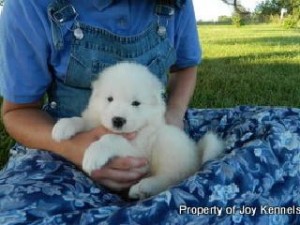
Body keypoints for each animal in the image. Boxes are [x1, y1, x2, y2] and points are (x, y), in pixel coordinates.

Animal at [52, 61, 224, 199]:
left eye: (135, 103)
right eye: (110, 99)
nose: (118, 120)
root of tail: (197, 156)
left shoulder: (138, 153)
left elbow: (111, 138)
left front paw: (94, 154)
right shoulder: (95, 120)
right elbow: (82, 120)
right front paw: (63, 126)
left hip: (168, 142)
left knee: (171, 178)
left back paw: (143, 187)